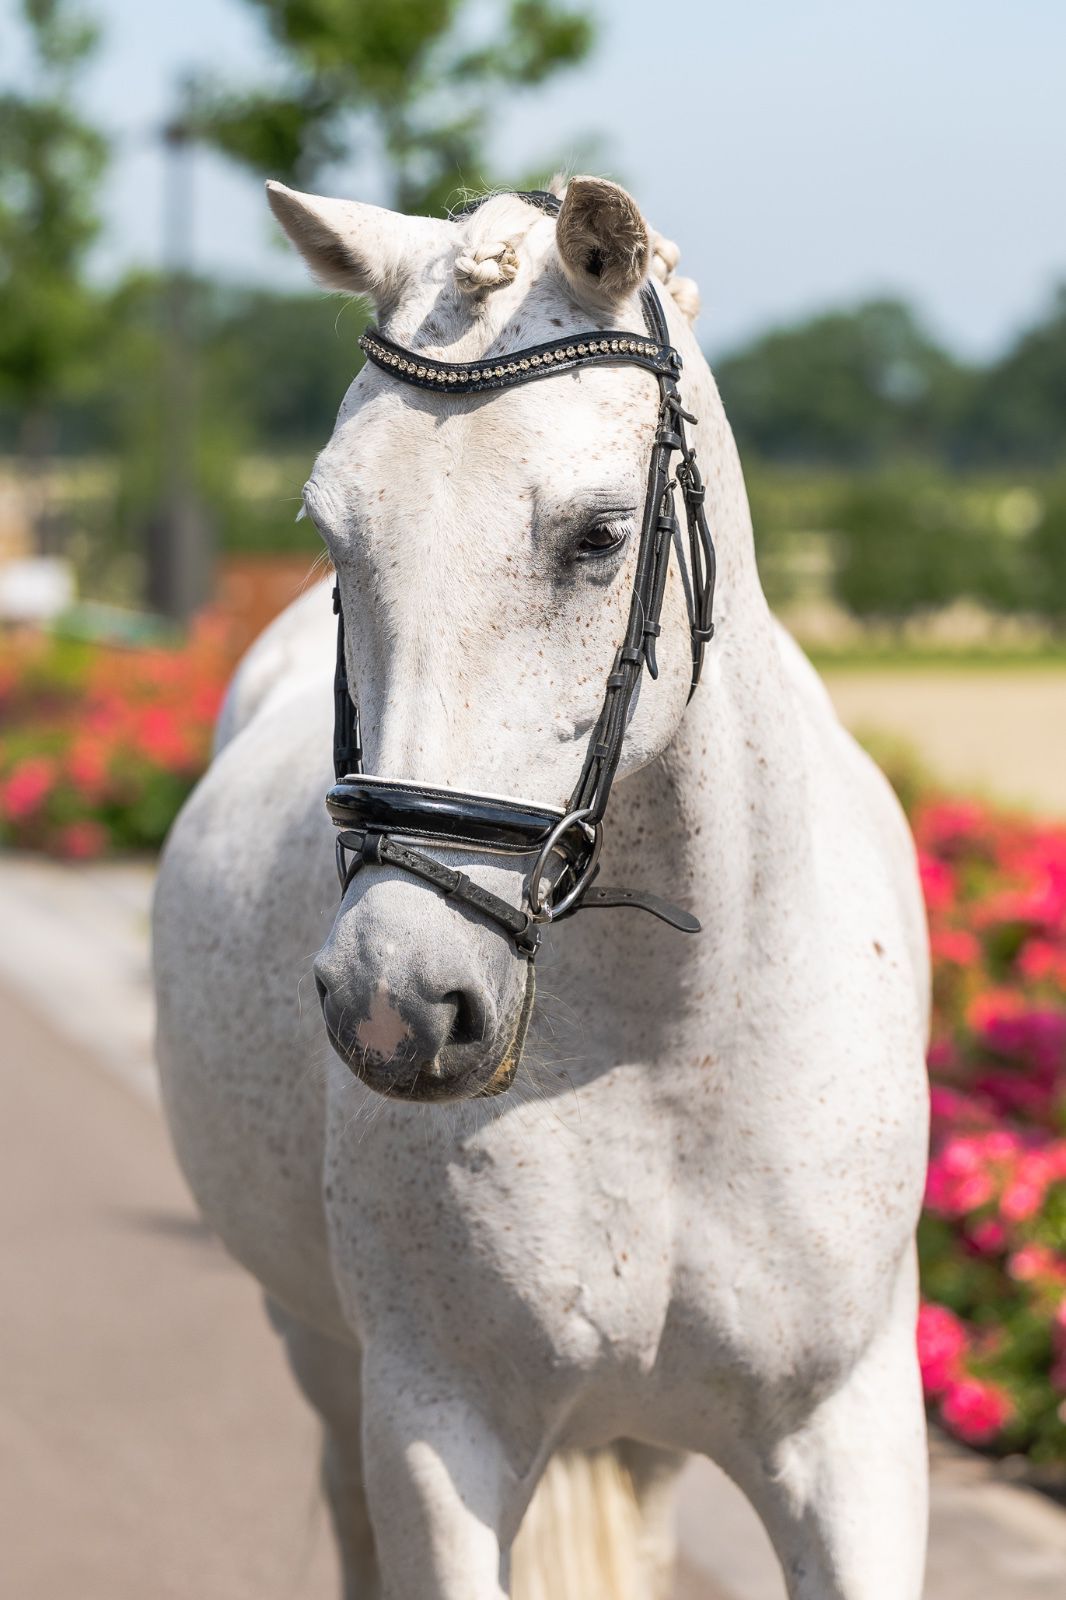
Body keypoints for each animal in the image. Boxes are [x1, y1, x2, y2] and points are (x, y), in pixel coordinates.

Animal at [152, 175, 931, 1600]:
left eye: (596, 536)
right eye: (330, 533)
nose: (395, 1001)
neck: (669, 1042)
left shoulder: (849, 1442)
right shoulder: (434, 1429)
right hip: (318, 1348)